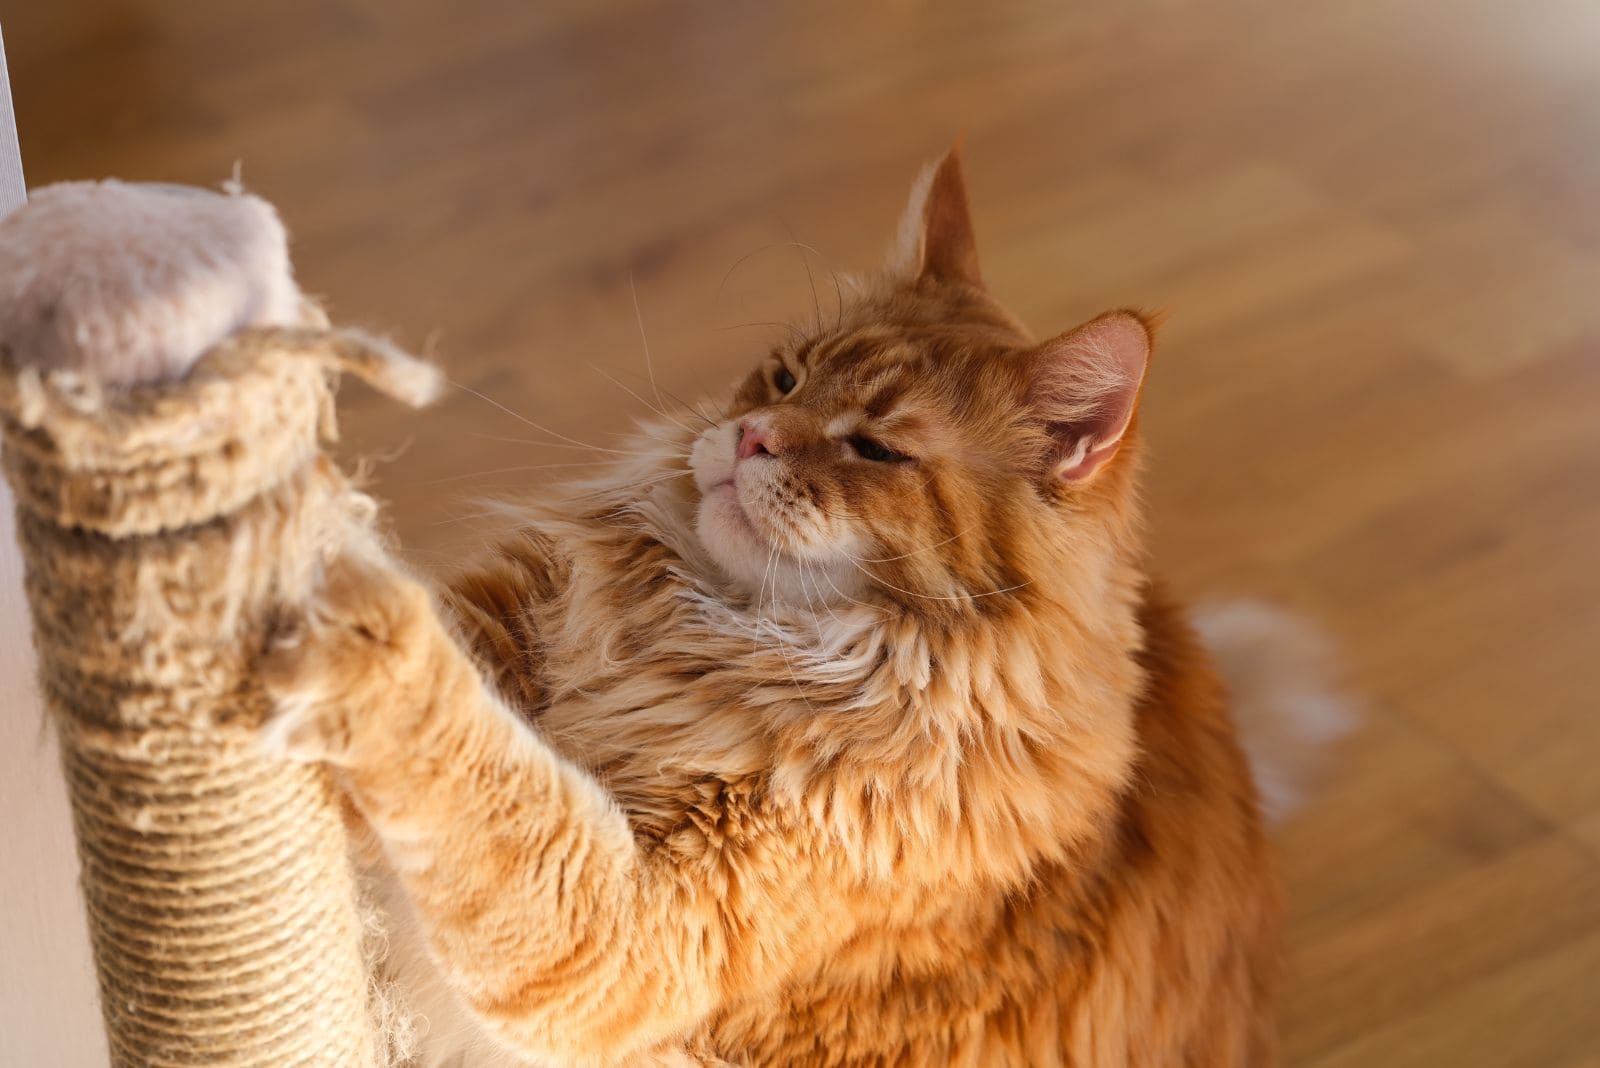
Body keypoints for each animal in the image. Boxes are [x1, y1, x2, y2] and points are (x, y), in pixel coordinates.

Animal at [268, 150, 1280, 1068]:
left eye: (875, 449)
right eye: (786, 379)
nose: (752, 436)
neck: (703, 630)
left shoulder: (628, 932)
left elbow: (473, 764)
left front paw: (350, 611)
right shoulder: (512, 615)